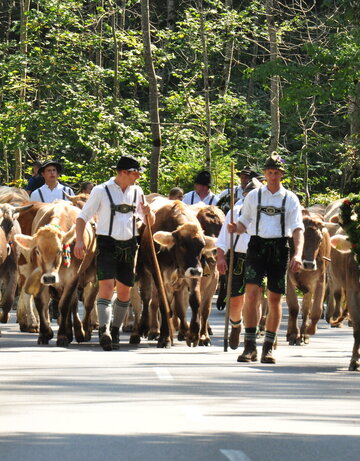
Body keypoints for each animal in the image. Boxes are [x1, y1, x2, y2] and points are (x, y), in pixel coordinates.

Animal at [136, 199, 215, 346]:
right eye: (182, 245)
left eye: (202, 246)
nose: (196, 270)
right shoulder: (159, 274)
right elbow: (164, 304)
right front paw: (165, 337)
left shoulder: (192, 274)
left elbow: (195, 300)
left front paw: (193, 334)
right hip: (144, 271)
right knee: (147, 299)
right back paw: (145, 328)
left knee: (178, 304)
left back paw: (183, 330)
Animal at [286, 210, 330, 344]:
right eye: (300, 238)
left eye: (320, 240)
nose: (309, 264)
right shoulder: (288, 279)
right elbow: (294, 307)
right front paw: (294, 334)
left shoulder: (320, 280)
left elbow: (316, 309)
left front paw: (309, 330)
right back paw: (290, 333)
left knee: (306, 308)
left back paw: (304, 334)